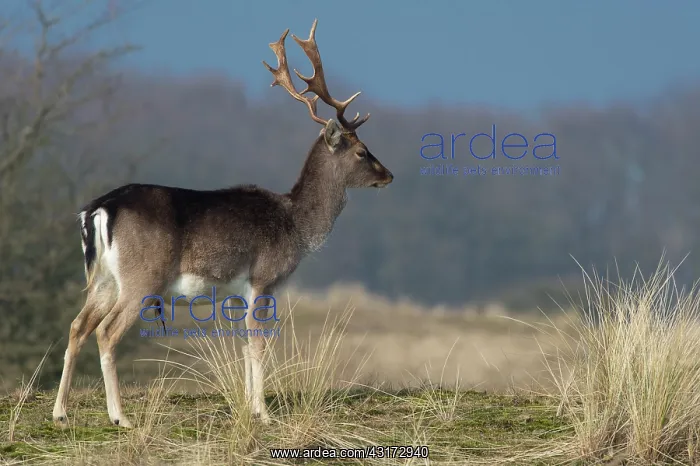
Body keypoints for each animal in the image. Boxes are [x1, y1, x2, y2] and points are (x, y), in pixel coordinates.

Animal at [52, 19, 393, 428]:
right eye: (362, 151)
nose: (389, 175)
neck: (296, 225)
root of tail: (99, 210)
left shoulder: (235, 289)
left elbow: (244, 344)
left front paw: (249, 406)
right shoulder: (264, 276)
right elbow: (259, 341)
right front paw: (264, 412)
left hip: (103, 278)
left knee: (76, 325)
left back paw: (60, 412)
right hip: (142, 276)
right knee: (106, 331)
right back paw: (120, 417)